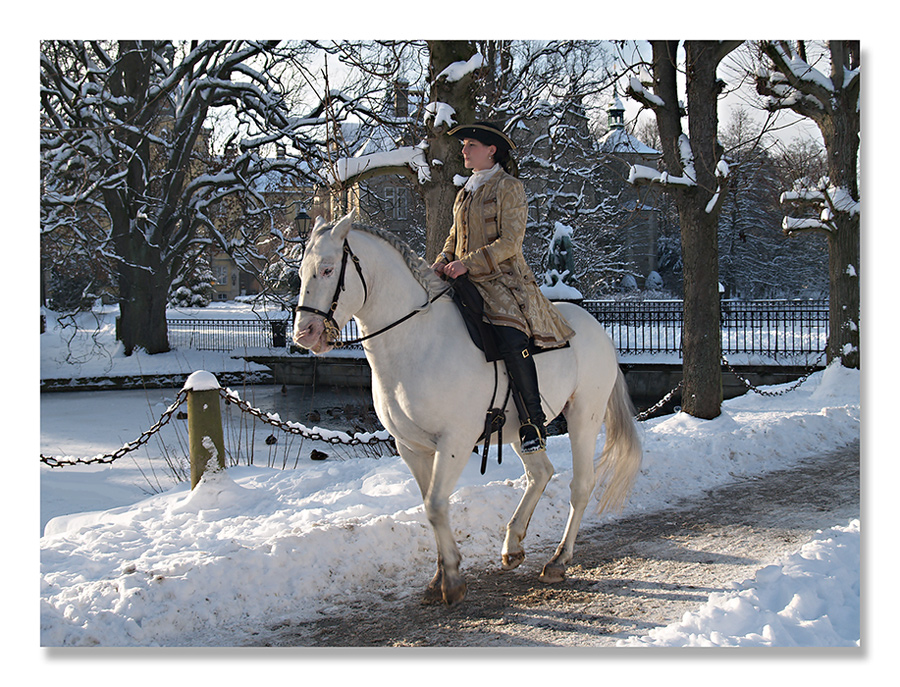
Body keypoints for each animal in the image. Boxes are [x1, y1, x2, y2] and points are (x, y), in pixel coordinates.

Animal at [294, 212, 640, 604]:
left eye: (326, 269)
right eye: (300, 272)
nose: (304, 334)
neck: (417, 340)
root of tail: (596, 328)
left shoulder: (455, 442)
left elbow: (435, 504)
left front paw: (454, 579)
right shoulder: (412, 447)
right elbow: (430, 506)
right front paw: (440, 575)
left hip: (584, 416)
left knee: (580, 485)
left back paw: (558, 560)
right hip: (523, 429)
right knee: (540, 473)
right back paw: (512, 545)